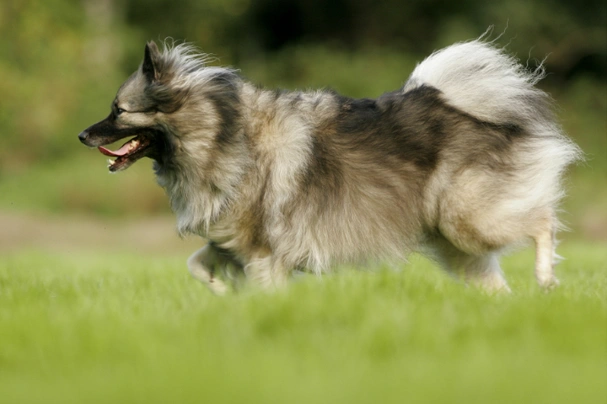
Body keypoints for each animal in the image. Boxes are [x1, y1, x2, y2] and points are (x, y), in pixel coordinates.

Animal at [78, 36, 580, 294]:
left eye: (119, 111)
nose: (83, 135)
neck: (219, 132)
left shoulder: (263, 254)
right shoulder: (229, 246)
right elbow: (197, 267)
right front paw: (223, 294)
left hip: (467, 220)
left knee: (543, 221)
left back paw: (546, 277)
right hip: (456, 242)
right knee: (497, 284)